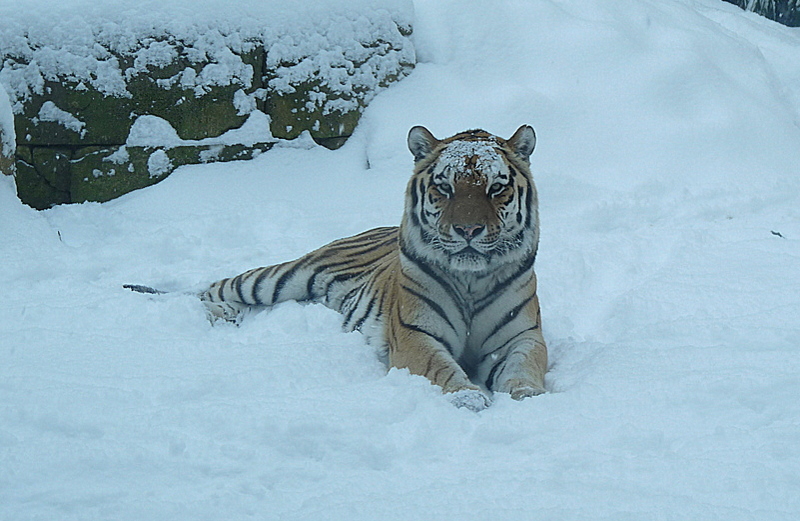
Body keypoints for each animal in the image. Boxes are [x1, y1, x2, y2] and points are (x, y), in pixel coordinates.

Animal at [203, 126, 548, 410]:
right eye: (445, 188)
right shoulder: (414, 334)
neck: (470, 280)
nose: (468, 230)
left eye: (495, 188)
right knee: (218, 287)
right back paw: (221, 316)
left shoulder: (522, 336)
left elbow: (524, 365)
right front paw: (468, 396)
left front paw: (528, 395)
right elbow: (439, 367)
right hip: (284, 277)